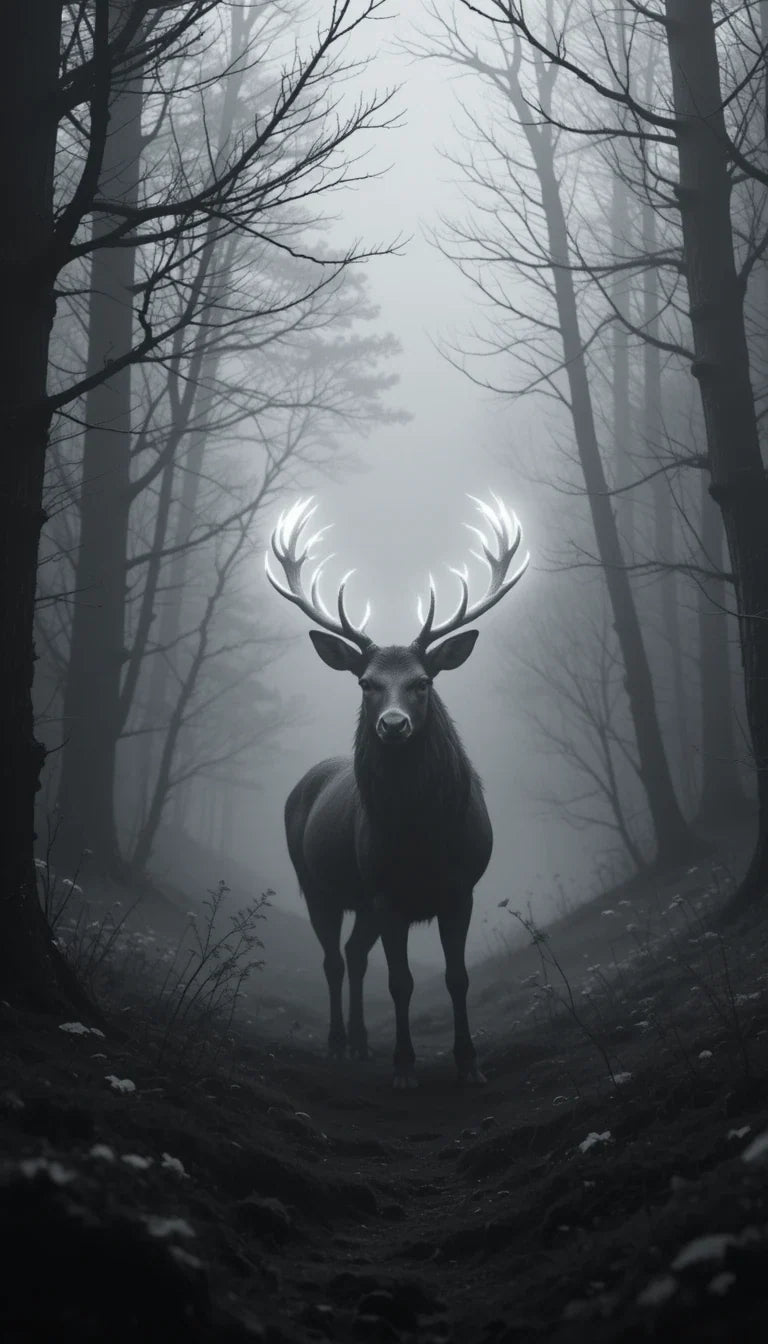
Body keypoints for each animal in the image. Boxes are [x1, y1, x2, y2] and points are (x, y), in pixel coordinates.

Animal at [265, 494, 529, 1088]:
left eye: (422, 682)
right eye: (366, 683)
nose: (392, 724)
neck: (422, 839)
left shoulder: (461, 888)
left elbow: (457, 978)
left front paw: (469, 1063)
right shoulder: (386, 895)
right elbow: (401, 981)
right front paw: (404, 1066)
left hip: (360, 900)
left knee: (353, 953)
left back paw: (363, 1043)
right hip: (315, 882)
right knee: (334, 959)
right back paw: (339, 1043)